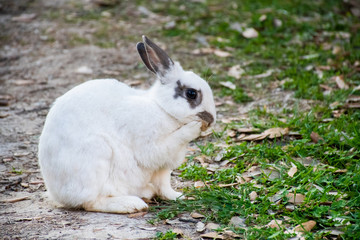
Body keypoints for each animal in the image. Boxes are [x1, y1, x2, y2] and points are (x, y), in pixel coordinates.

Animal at [38, 34, 215, 213]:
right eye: (191, 94)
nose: (211, 120)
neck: (162, 108)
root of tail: (56, 193)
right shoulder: (152, 146)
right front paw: (194, 128)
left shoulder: (163, 168)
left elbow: (164, 186)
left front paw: (179, 196)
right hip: (96, 157)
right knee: (91, 202)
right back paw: (131, 204)